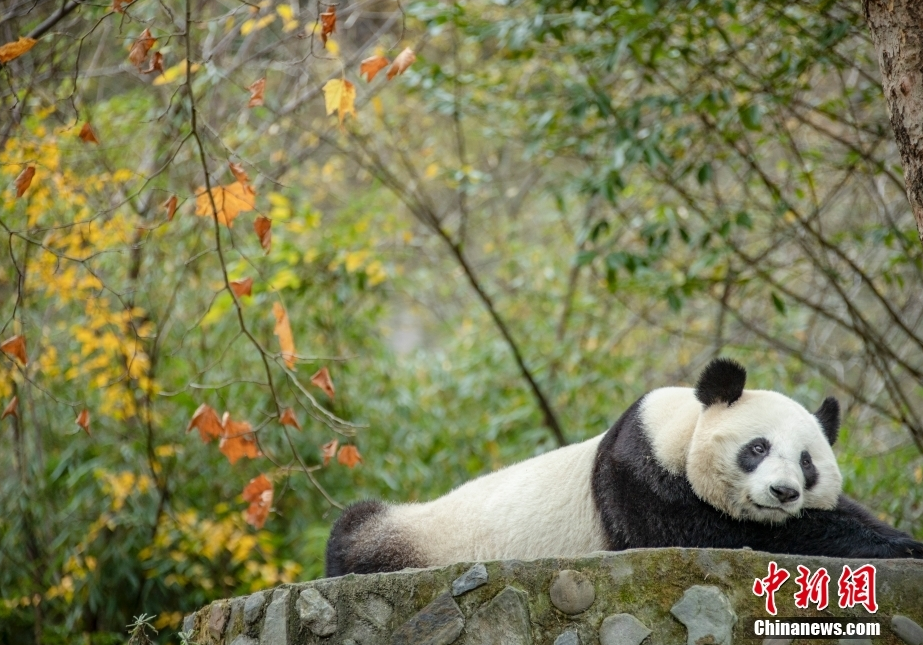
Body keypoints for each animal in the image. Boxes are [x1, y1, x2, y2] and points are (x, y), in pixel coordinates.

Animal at [326, 358, 923, 572]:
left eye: (807, 463)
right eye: (756, 448)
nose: (784, 493)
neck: (678, 429)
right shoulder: (638, 479)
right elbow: (721, 533)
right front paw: (896, 547)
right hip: (413, 530)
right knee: (354, 529)